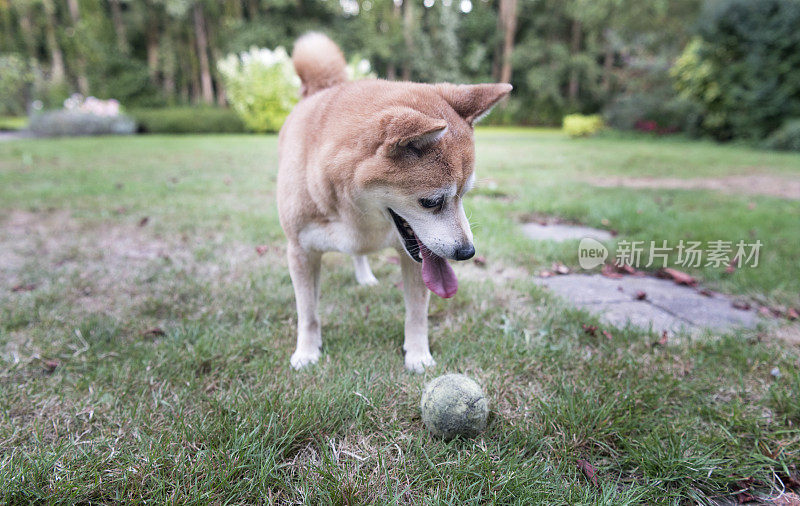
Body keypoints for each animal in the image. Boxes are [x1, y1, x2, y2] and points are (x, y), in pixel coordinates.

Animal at [278, 32, 510, 372]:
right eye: (431, 202)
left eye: (464, 194)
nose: (467, 252)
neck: (357, 214)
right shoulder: (300, 251)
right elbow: (307, 313)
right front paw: (307, 352)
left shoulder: (418, 257)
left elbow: (417, 313)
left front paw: (418, 355)